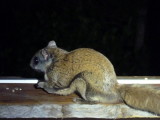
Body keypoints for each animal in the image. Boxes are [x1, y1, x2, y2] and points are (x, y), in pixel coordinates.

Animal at [29, 40, 160, 115]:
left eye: (36, 60)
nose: (30, 65)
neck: (56, 59)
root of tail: (114, 90)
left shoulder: (56, 77)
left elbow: (55, 86)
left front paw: (41, 84)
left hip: (82, 81)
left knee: (93, 100)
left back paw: (82, 100)